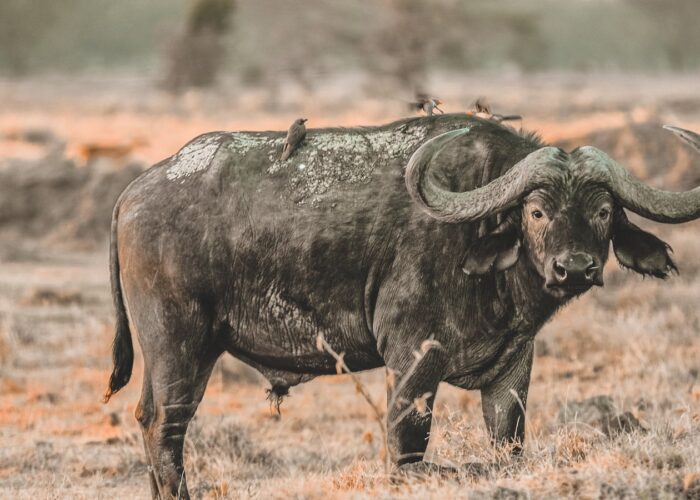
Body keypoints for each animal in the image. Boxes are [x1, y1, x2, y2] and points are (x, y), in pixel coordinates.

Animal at [103, 114, 700, 498]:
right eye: (536, 211)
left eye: (604, 211)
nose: (574, 268)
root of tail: (135, 191)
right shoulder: (413, 357)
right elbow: (408, 443)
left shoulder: (513, 367)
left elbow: (509, 443)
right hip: (180, 347)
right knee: (164, 427)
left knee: (147, 420)